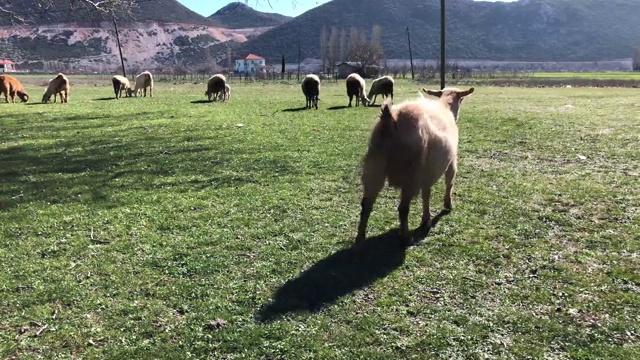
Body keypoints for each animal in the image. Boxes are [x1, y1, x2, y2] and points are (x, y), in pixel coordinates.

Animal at [352, 87, 472, 250]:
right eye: (461, 99)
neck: (445, 105)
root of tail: (391, 119)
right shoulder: (451, 161)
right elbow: (449, 182)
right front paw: (447, 205)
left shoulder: (428, 171)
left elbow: (426, 193)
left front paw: (426, 219)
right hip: (410, 174)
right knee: (403, 209)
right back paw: (406, 238)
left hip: (374, 166)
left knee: (366, 204)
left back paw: (360, 239)